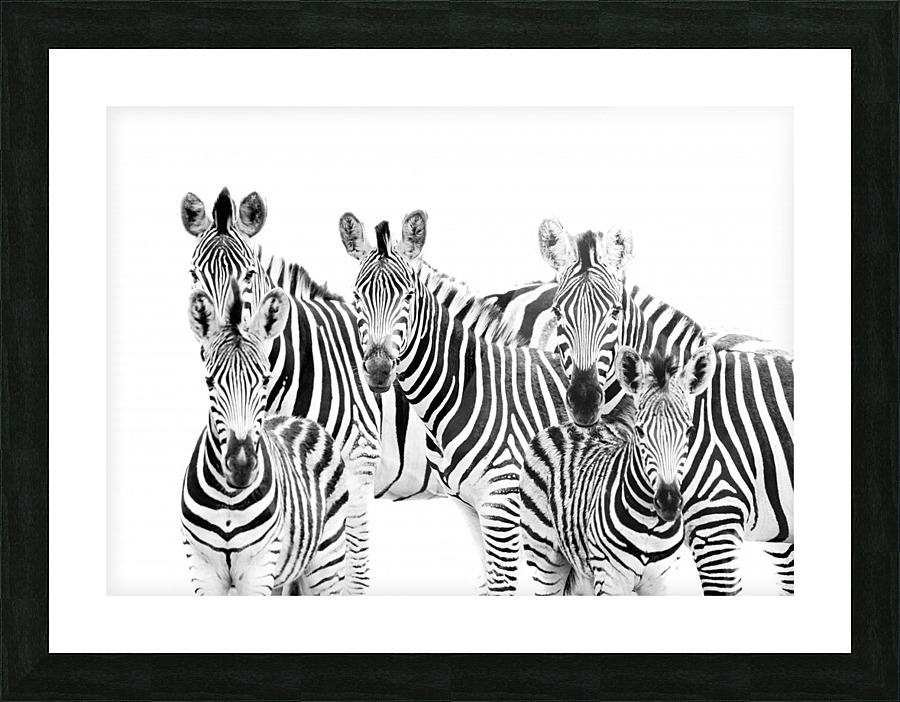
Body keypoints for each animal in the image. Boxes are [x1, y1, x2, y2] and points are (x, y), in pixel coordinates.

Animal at [183, 281, 352, 595]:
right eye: (210, 382)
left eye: (264, 379)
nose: (241, 467)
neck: (229, 500)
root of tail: (301, 419)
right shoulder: (203, 570)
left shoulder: (258, 569)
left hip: (326, 563)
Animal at [522, 345, 716, 595]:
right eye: (640, 431)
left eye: (689, 430)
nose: (669, 502)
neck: (650, 525)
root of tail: (570, 425)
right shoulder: (610, 578)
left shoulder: (660, 581)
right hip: (545, 557)